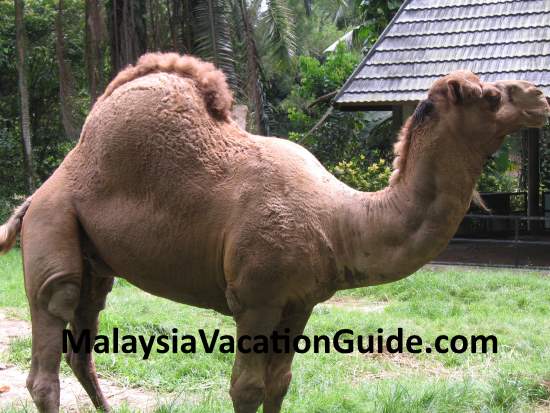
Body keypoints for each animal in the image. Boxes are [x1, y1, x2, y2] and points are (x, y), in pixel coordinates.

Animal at [0, 52, 548, 412]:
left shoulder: (298, 303)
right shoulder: (256, 300)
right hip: (54, 224)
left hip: (95, 259)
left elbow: (280, 382)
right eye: (489, 95)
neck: (339, 220)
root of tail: (36, 194)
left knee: (82, 340)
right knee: (49, 336)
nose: (539, 96)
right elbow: (246, 388)